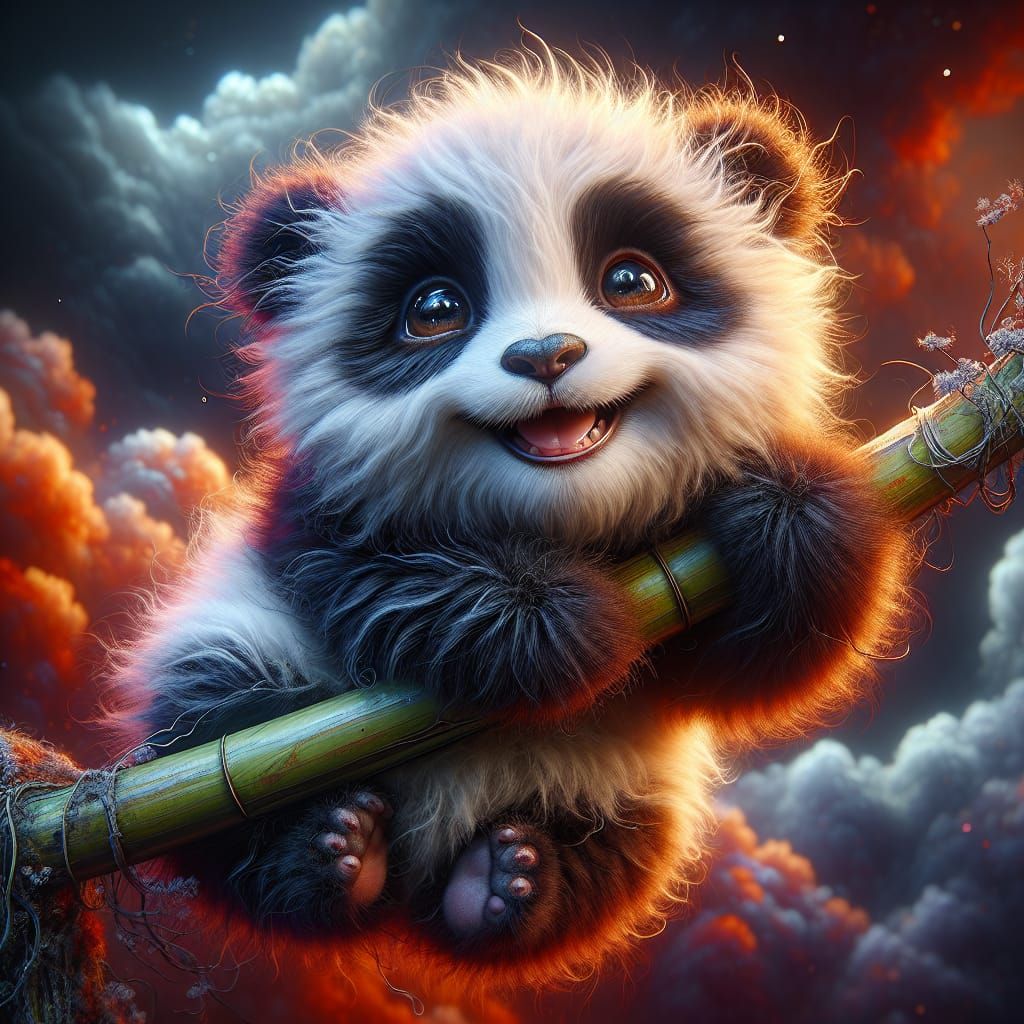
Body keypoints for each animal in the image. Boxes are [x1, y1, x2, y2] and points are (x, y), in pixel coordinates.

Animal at [109, 46, 914, 989]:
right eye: (435, 309)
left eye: (631, 280)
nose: (545, 355)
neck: (566, 516)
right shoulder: (312, 503)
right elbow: (373, 576)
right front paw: (562, 618)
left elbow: (745, 664)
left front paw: (786, 514)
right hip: (226, 687)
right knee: (217, 740)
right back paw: (333, 847)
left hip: (628, 782)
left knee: (609, 861)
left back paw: (506, 880)